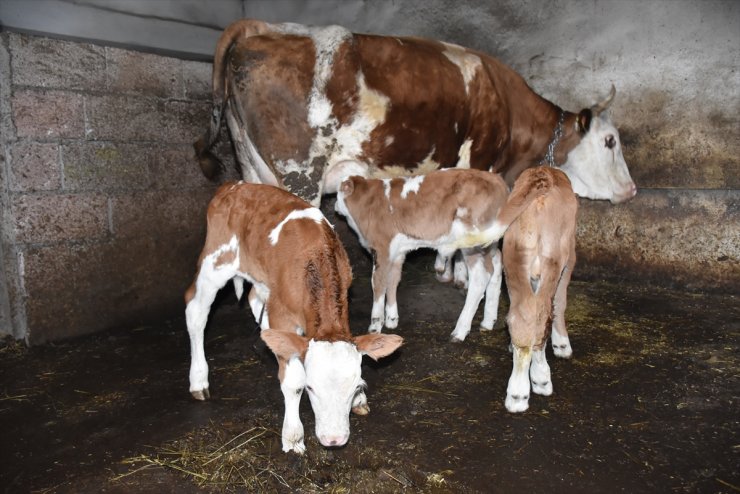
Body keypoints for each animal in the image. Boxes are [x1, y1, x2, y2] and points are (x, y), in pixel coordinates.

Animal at [185, 181, 404, 452]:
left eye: (356, 386)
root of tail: (234, 186)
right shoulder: (282, 314)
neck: (315, 257)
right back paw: (198, 381)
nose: (334, 440)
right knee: (195, 311)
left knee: (254, 299)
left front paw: (359, 400)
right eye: (311, 387)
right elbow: (292, 381)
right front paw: (293, 436)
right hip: (215, 262)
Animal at [192, 18, 636, 206]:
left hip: (252, 167)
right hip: (300, 174)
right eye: (610, 141)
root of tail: (259, 26)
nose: (632, 190)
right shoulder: (480, 164)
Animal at [334, 164, 556, 342]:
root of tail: (497, 182)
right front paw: (392, 318)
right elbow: (393, 281)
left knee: (481, 276)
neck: (368, 202)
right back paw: (488, 320)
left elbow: (378, 284)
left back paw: (460, 331)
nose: (335, 206)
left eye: (337, 191)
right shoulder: (397, 252)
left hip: (471, 240)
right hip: (489, 243)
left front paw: (375, 325)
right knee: (496, 266)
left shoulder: (381, 248)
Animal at [502, 167, 580, 412]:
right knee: (541, 314)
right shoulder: (570, 259)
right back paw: (536, 382)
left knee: (522, 315)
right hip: (553, 261)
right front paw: (562, 344)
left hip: (513, 261)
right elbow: (560, 302)